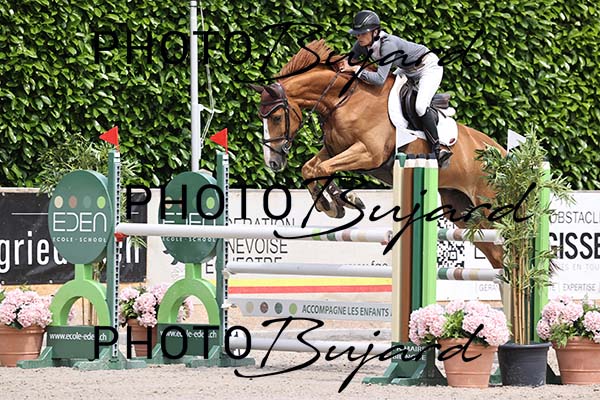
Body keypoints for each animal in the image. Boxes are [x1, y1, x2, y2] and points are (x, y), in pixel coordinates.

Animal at [250, 40, 505, 269]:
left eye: (276, 118)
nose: (272, 162)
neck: (344, 100)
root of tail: (501, 152)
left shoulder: (367, 153)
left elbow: (322, 168)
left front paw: (342, 201)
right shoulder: (335, 150)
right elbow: (310, 169)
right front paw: (333, 204)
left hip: (488, 204)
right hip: (462, 211)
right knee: (496, 254)